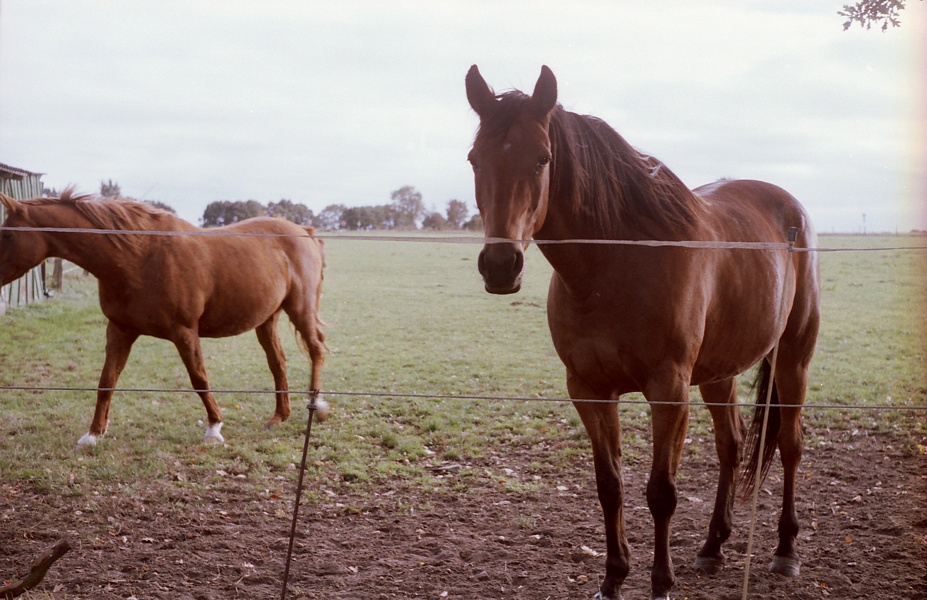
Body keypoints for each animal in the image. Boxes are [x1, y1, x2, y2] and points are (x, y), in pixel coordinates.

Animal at [0, 190, 326, 448]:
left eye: (7, 234)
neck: (139, 257)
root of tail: (303, 230)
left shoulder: (184, 332)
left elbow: (199, 378)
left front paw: (214, 429)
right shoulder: (119, 331)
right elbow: (107, 381)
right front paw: (93, 434)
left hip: (301, 309)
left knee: (316, 350)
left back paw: (318, 406)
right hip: (266, 320)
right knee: (278, 362)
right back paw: (279, 416)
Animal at [468, 65, 824, 600]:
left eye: (542, 159)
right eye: (475, 159)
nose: (500, 264)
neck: (614, 267)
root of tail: (789, 207)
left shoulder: (668, 390)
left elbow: (661, 492)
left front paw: (660, 583)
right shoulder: (589, 390)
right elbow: (609, 484)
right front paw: (613, 579)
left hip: (793, 359)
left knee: (790, 446)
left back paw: (786, 551)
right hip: (720, 372)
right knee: (732, 445)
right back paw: (712, 547)